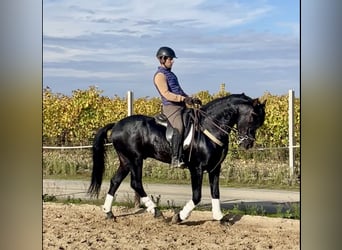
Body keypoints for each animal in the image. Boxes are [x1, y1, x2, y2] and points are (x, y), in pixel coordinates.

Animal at [87, 93, 264, 223]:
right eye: (252, 116)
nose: (247, 144)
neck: (210, 127)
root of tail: (117, 124)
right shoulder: (197, 169)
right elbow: (197, 196)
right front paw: (179, 217)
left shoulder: (215, 168)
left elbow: (215, 193)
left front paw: (220, 218)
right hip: (135, 159)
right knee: (136, 183)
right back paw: (156, 212)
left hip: (125, 161)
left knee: (115, 181)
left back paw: (109, 213)